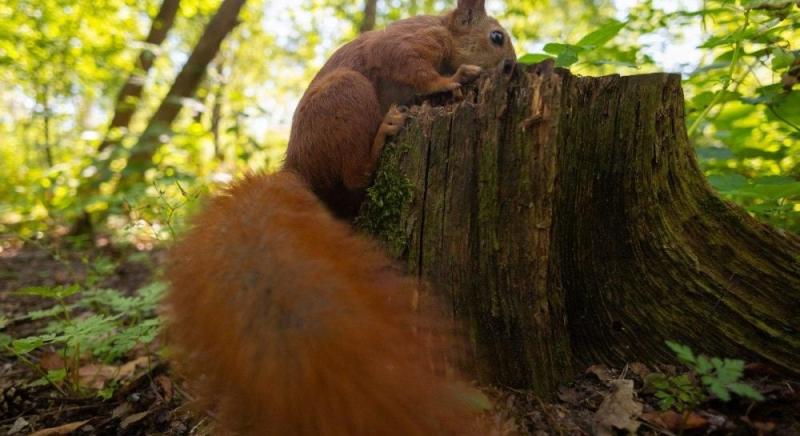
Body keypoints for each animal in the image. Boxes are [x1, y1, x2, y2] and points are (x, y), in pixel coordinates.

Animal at [165, 1, 516, 434]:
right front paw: (451, 79)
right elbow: (411, 66)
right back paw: (383, 133)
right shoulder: (410, 43)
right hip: (347, 94)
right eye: (496, 37)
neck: (445, 30)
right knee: (354, 171)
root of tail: (297, 166)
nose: (512, 68)